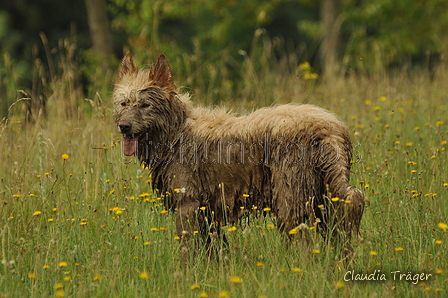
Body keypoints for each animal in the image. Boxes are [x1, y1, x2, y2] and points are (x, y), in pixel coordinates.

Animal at [113, 52, 364, 258]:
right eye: (124, 103)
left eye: (145, 105)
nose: (124, 126)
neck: (176, 132)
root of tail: (330, 128)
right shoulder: (209, 213)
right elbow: (214, 252)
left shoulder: (188, 204)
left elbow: (187, 252)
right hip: (325, 199)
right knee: (340, 239)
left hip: (291, 200)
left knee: (305, 243)